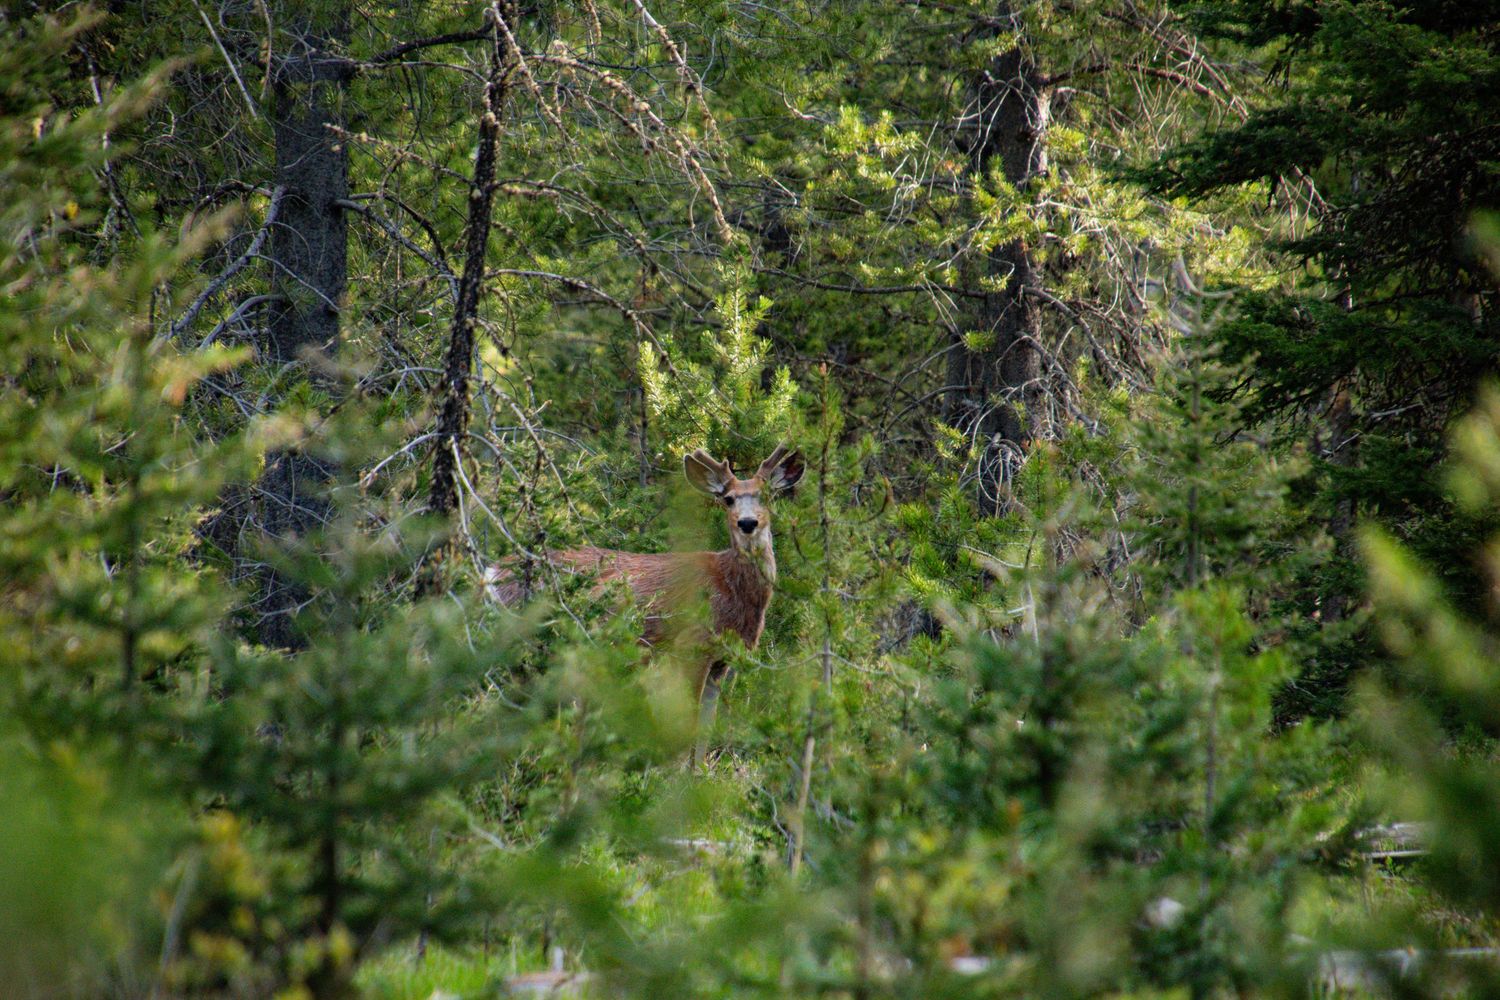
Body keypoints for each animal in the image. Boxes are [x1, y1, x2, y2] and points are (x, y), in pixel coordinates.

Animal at [486, 444, 805, 749]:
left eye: (767, 496)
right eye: (728, 499)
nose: (748, 523)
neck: (732, 590)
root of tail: (492, 572)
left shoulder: (722, 659)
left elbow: (705, 731)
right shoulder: (692, 644)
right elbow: (688, 725)